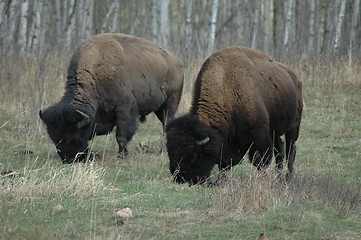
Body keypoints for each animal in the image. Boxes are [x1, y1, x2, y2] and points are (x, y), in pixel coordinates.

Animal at [39, 33, 183, 163]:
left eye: (74, 136)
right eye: (54, 139)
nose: (69, 159)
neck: (95, 75)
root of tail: (177, 61)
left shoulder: (125, 108)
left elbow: (121, 135)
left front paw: (121, 156)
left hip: (169, 105)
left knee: (166, 124)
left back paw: (163, 151)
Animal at [165, 47, 300, 186]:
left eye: (194, 155)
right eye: (170, 152)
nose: (181, 179)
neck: (227, 87)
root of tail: (294, 77)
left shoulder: (259, 136)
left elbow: (260, 160)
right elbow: (224, 164)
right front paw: (221, 181)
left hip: (294, 125)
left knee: (290, 150)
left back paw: (288, 177)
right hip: (275, 130)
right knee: (280, 149)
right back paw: (279, 177)